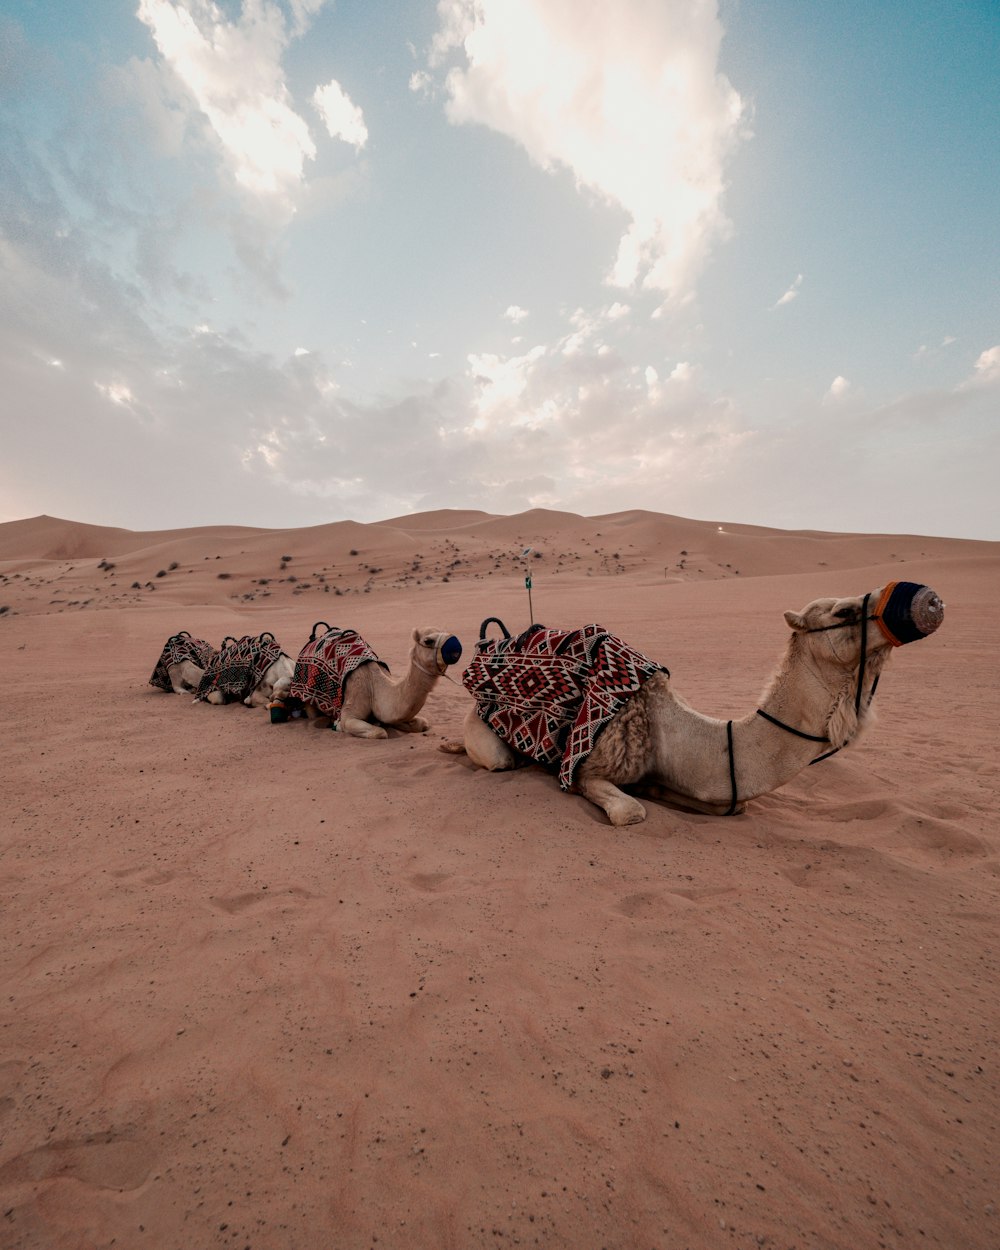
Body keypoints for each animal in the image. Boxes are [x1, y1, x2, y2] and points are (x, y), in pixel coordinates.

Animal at [277, 622, 465, 735]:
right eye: (428, 640)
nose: (456, 646)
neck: (375, 686)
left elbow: (422, 724)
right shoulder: (350, 712)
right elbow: (378, 732)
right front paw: (339, 725)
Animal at [442, 580, 945, 825]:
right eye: (843, 611)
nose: (926, 601)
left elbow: (730, 806)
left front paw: (661, 791)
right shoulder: (591, 767)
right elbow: (629, 811)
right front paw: (642, 798)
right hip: (484, 729)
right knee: (496, 758)